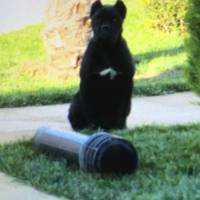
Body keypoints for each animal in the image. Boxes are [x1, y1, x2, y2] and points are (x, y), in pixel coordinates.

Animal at [68, 0, 135, 130]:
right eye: (97, 18)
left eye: (114, 19)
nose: (105, 28)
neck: (106, 48)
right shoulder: (88, 83)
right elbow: (91, 109)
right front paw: (96, 127)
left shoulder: (125, 83)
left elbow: (122, 108)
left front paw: (120, 127)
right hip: (76, 102)